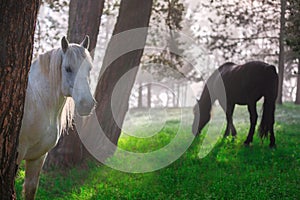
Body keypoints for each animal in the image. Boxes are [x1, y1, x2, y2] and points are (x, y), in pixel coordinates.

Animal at [17, 35, 95, 199]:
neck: (39, 101)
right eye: (68, 69)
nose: (87, 104)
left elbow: (30, 189)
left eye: (89, 69)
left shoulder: (37, 157)